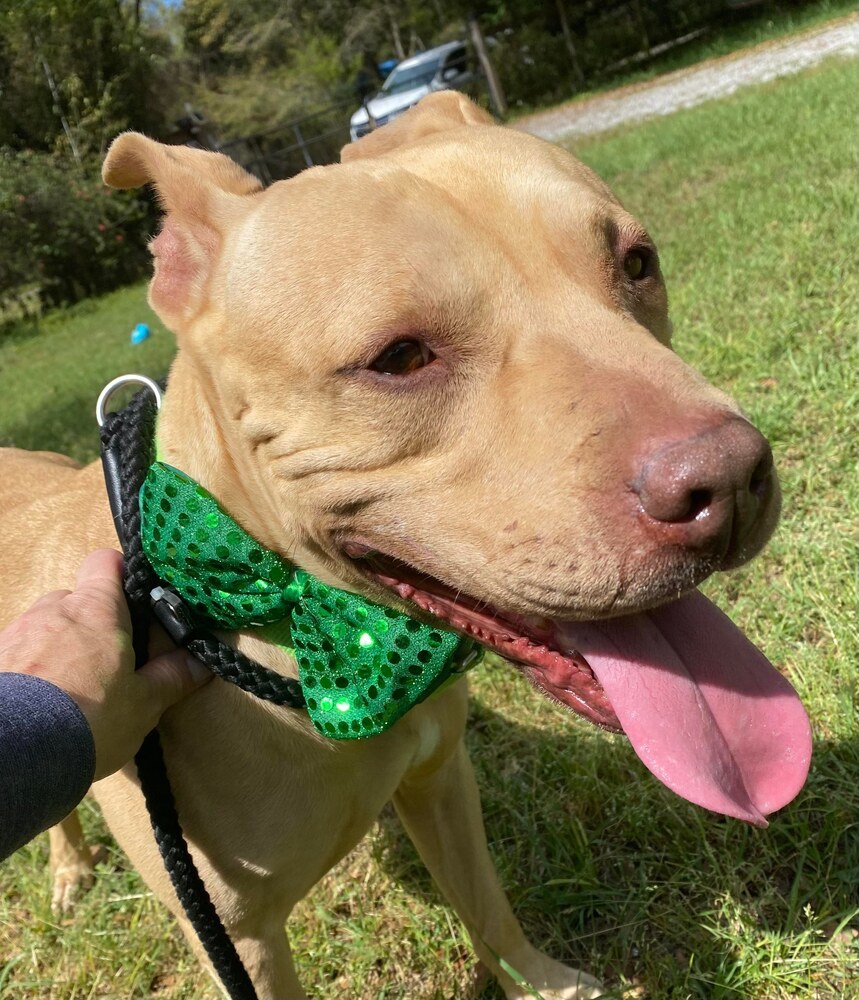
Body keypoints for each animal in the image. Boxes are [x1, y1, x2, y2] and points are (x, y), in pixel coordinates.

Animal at [0, 90, 808, 996]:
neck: (301, 627)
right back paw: (69, 871)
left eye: (636, 263)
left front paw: (543, 983)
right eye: (398, 357)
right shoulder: (238, 939)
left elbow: (490, 911)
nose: (730, 481)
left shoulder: (441, 783)